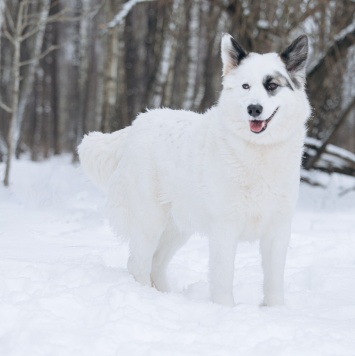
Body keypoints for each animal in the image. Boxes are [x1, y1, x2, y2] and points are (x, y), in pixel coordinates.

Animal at [78, 34, 312, 306]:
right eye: (245, 86)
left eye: (272, 85)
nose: (253, 109)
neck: (257, 151)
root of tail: (136, 125)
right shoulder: (224, 228)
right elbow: (223, 279)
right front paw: (225, 310)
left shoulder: (278, 229)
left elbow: (273, 282)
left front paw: (275, 311)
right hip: (149, 223)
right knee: (138, 264)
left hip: (177, 228)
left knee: (156, 264)